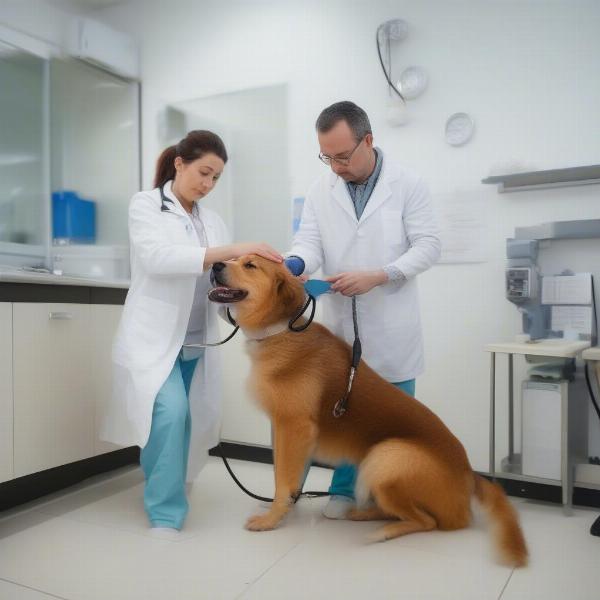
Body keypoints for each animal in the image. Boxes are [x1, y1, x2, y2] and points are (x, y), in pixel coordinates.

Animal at [209, 255, 528, 564]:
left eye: (250, 264)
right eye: (236, 257)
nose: (215, 264)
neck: (281, 331)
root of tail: (471, 475)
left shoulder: (294, 427)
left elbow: (283, 479)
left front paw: (272, 518)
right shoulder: (282, 429)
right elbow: (286, 478)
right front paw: (285, 507)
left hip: (387, 456)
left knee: (428, 521)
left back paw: (381, 532)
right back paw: (363, 514)